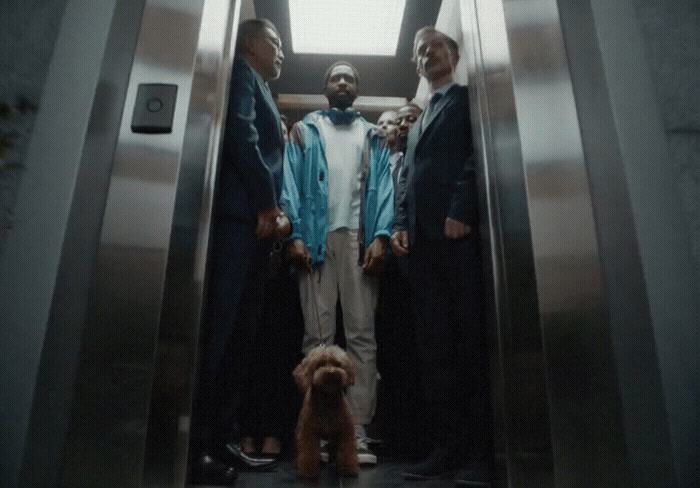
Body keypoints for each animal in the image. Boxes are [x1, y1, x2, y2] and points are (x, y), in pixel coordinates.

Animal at [292, 346, 358, 478]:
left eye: (337, 364)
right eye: (320, 364)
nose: (332, 372)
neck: (328, 400)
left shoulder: (346, 432)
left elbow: (347, 451)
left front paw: (348, 468)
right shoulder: (307, 432)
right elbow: (308, 452)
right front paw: (309, 471)